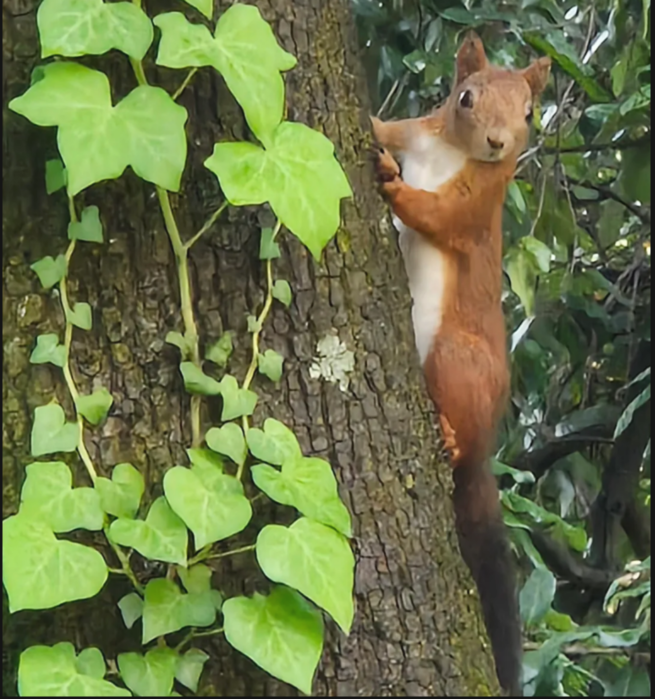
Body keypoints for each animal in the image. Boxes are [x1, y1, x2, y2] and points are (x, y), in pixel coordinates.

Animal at [371, 32, 550, 696]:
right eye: (465, 97)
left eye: (530, 112)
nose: (499, 143)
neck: (450, 150)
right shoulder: (414, 130)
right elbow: (383, 127)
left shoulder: (478, 206)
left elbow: (438, 215)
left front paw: (394, 187)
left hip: (456, 359)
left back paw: (450, 435)